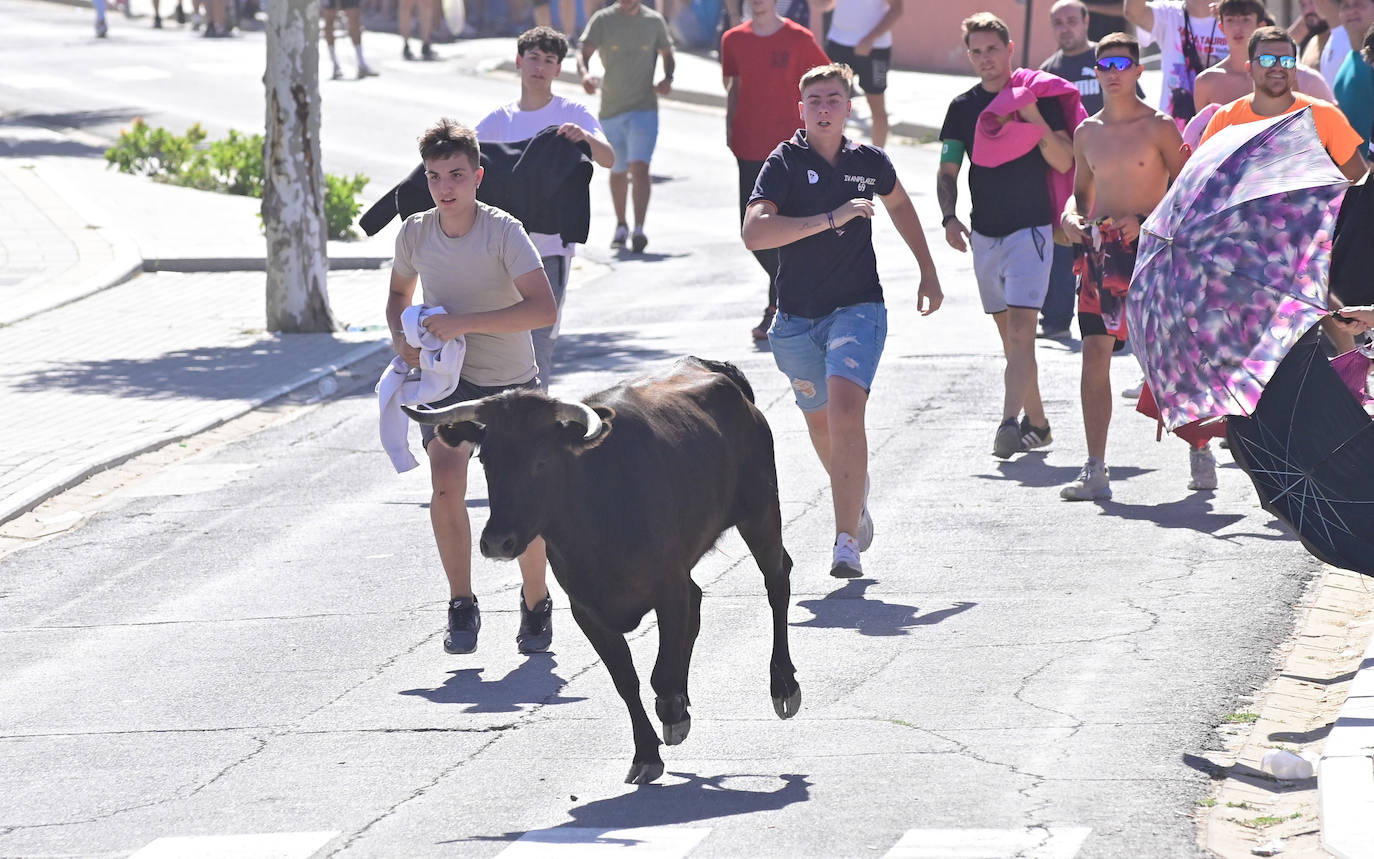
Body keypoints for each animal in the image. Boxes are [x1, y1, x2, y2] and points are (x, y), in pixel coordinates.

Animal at [401, 354, 802, 786]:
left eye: (541, 460)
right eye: (485, 459)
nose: (497, 541)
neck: (594, 518)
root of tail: (713, 368)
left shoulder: (668, 587)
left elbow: (660, 674)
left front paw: (673, 713)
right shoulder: (587, 609)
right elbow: (625, 680)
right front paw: (647, 752)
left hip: (760, 512)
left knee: (776, 581)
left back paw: (783, 685)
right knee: (700, 604)